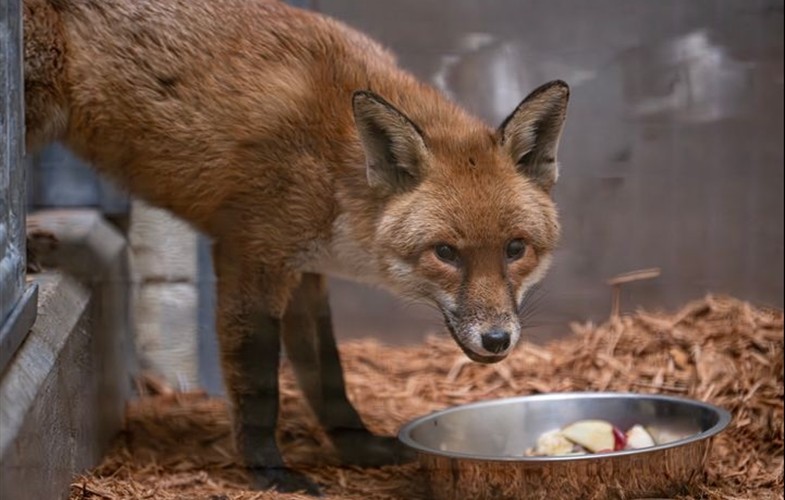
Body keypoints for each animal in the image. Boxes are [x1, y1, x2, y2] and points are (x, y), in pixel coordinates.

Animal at [23, 0, 569, 494]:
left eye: (515, 248)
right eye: (446, 253)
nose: (497, 340)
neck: (334, 164)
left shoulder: (306, 271)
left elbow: (328, 376)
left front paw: (359, 448)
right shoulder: (251, 255)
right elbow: (260, 384)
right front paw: (270, 472)